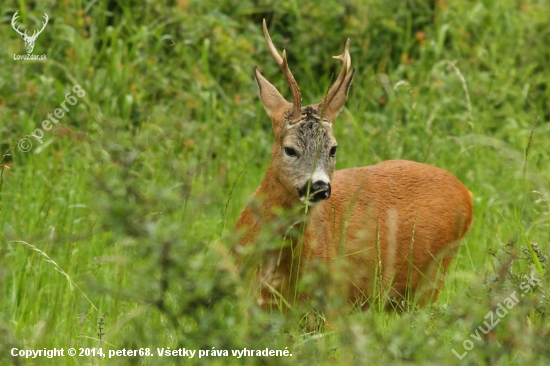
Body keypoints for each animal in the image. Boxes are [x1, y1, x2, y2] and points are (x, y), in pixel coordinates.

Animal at [237, 20, 474, 308]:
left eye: (333, 148)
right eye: (290, 149)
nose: (319, 187)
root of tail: (467, 194)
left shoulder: (333, 302)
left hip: (432, 276)